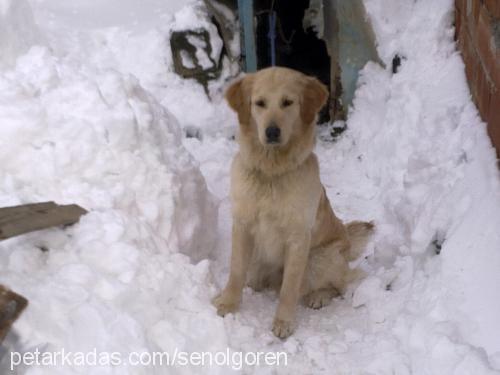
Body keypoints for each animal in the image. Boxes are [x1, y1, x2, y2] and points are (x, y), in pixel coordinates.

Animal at [213, 67, 374, 340]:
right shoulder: (242, 225)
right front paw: (228, 302)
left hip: (321, 257)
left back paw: (319, 297)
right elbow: (236, 270)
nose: (272, 132)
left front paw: (283, 322)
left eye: (288, 102)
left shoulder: (298, 237)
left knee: (341, 283)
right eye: (260, 103)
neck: (272, 172)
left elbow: (290, 287)